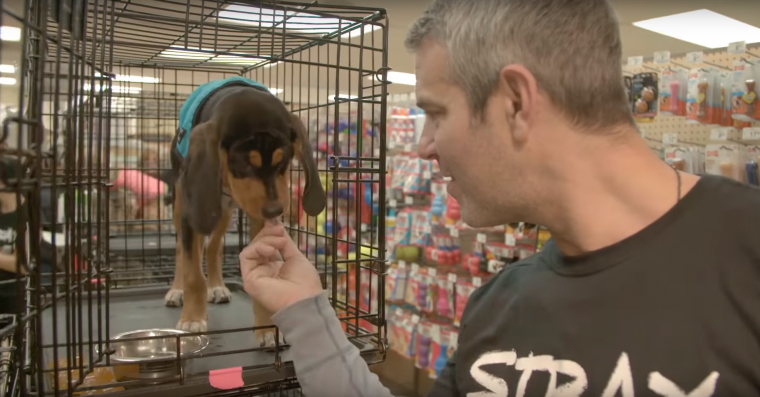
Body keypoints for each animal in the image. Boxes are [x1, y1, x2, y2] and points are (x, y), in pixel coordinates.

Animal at [165, 75, 326, 346]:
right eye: (242, 164)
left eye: (283, 162)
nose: (275, 210)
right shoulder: (191, 212)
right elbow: (193, 274)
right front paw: (192, 318)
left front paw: (266, 327)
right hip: (185, 206)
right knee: (182, 249)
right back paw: (177, 289)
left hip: (222, 212)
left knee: (213, 247)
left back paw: (216, 285)